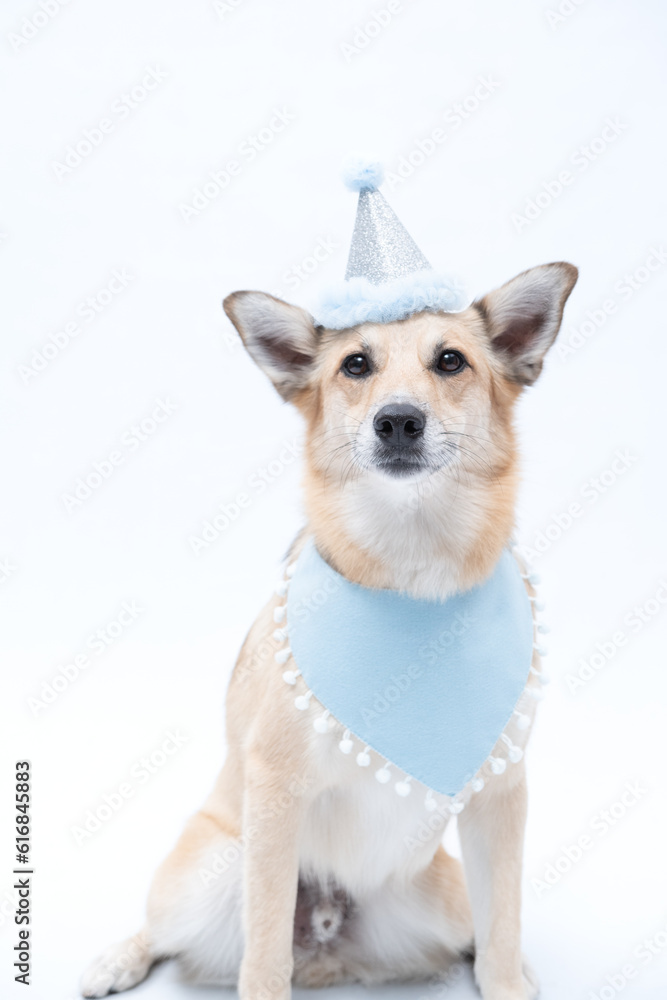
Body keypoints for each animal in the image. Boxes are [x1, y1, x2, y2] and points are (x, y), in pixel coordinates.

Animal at [79, 260, 580, 1000]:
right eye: (355, 365)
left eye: (450, 360)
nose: (397, 420)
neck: (412, 580)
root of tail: (328, 946)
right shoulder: (274, 791)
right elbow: (262, 960)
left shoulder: (500, 795)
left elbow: (501, 932)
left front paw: (510, 976)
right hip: (211, 871)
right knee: (166, 933)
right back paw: (116, 959)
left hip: (441, 894)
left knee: (477, 935)